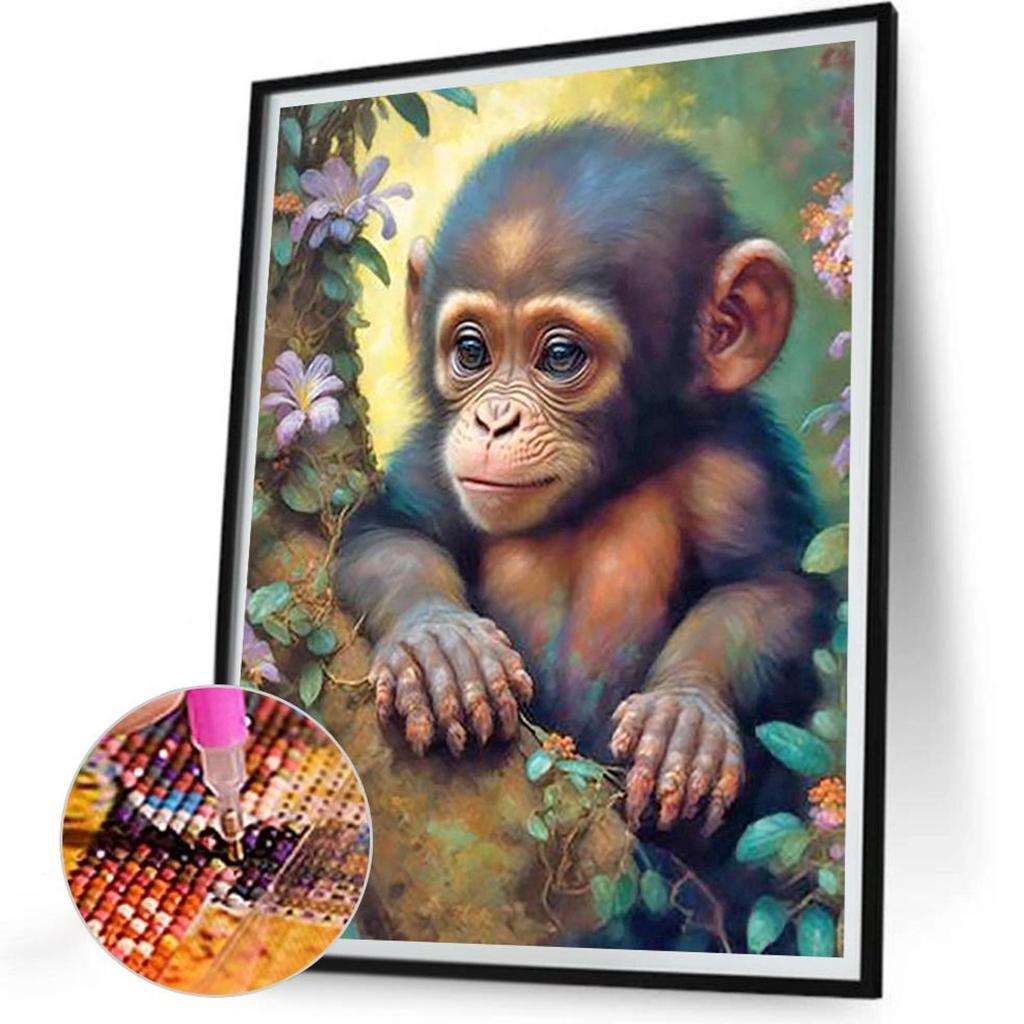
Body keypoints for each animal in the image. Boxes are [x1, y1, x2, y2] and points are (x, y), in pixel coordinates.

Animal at [334, 121, 829, 841]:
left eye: (560, 356)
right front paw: (440, 645)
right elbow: (388, 532)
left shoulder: (736, 470)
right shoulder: (433, 456)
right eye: (472, 351)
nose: (494, 420)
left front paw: (685, 713)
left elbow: (770, 589)